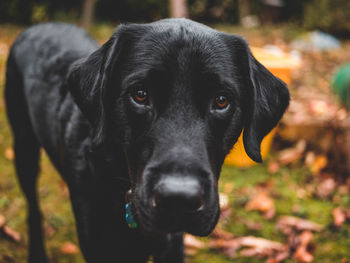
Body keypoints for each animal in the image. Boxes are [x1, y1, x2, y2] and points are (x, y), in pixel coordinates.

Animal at [4, 18, 290, 262]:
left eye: (221, 100)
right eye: (140, 94)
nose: (179, 199)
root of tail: (40, 25)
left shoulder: (171, 246)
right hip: (23, 148)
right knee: (33, 208)